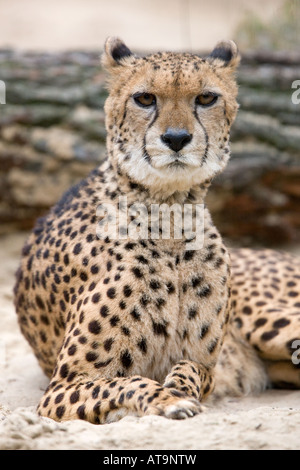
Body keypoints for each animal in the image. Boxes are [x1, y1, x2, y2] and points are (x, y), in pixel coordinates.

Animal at [14, 38, 300, 424]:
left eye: (206, 98)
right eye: (145, 98)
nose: (176, 138)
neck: (170, 216)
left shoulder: (207, 367)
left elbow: (188, 368)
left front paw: (177, 389)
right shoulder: (61, 387)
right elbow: (127, 381)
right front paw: (167, 398)